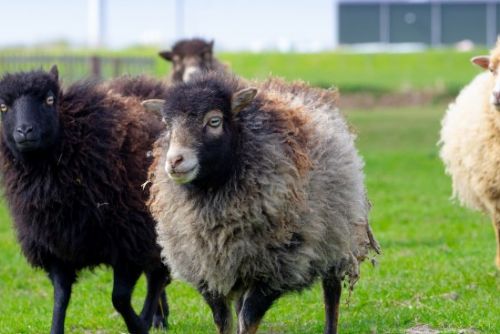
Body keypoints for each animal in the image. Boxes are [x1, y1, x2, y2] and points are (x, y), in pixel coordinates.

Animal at [0, 66, 172, 334]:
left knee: (157, 276)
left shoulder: (128, 241)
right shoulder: (56, 247)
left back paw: (153, 318)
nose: (24, 131)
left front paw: (139, 324)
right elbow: (61, 297)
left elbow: (119, 298)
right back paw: (158, 317)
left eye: (50, 100)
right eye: (3, 107)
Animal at [144, 73, 378, 334]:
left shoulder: (276, 268)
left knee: (332, 293)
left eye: (214, 121)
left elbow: (248, 319)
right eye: (167, 125)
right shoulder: (207, 268)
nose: (175, 161)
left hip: (335, 236)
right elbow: (223, 320)